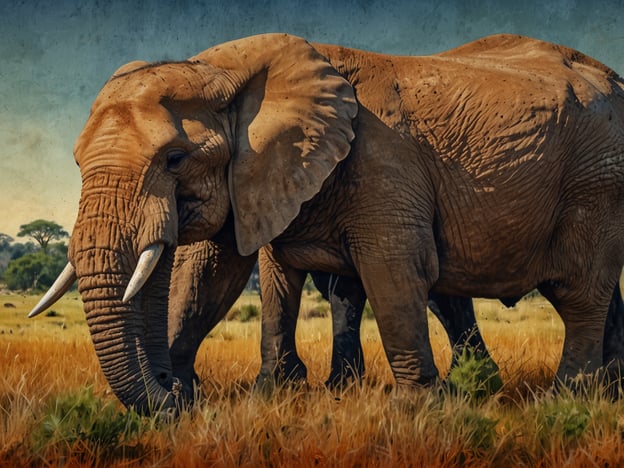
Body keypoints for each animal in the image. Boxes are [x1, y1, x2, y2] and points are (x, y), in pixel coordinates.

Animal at [30, 33, 624, 414]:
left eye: (175, 160)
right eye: (78, 163)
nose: (170, 392)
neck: (224, 72)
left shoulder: (384, 162)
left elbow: (394, 269)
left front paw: (415, 410)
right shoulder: (263, 175)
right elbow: (231, 276)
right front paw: (271, 394)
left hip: (596, 182)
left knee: (579, 292)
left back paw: (569, 399)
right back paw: (605, 390)